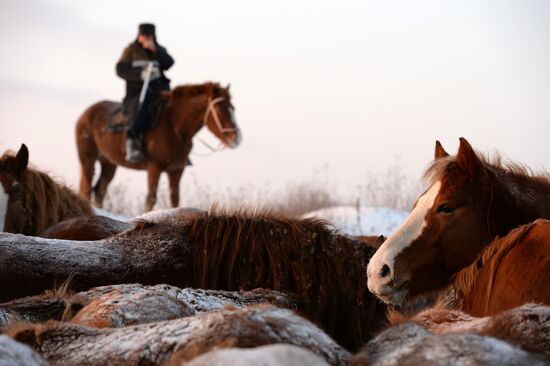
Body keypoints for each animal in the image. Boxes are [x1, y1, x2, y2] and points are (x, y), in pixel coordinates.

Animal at [75, 81, 242, 210]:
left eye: (233, 107)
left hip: (109, 163)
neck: (173, 126)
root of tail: (85, 114)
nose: (237, 138)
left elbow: (175, 200)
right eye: (219, 110)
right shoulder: (154, 167)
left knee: (100, 190)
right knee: (86, 188)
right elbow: (151, 198)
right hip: (87, 159)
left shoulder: (176, 170)